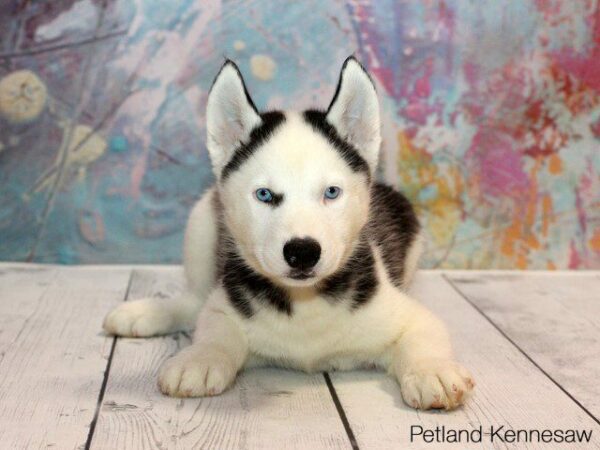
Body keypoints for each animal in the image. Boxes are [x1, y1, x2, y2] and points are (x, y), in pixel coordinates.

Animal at [105, 57, 476, 412]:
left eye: (331, 192)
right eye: (264, 194)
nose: (302, 252)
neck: (304, 301)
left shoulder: (403, 312)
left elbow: (423, 332)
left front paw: (432, 370)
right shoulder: (227, 302)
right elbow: (214, 327)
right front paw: (200, 357)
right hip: (201, 223)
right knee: (196, 301)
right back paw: (146, 312)